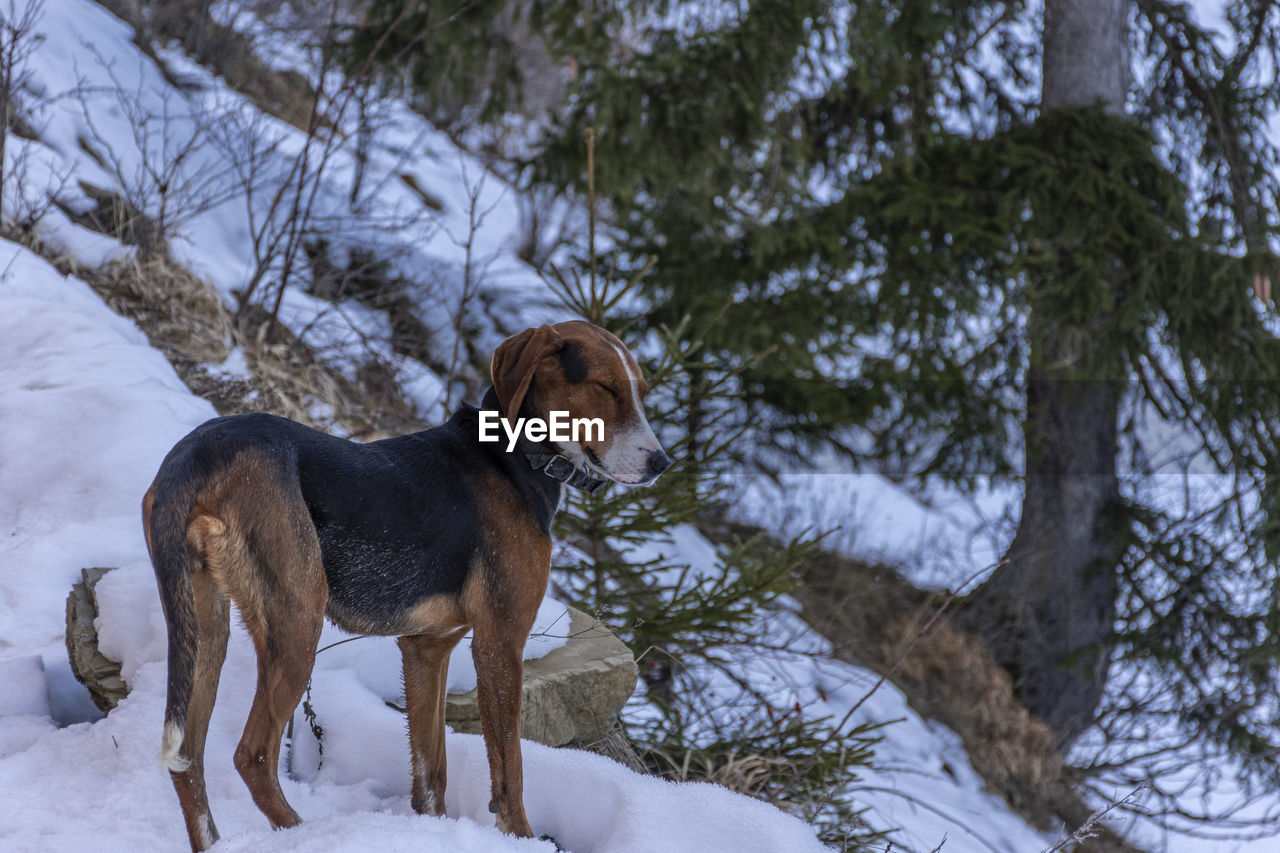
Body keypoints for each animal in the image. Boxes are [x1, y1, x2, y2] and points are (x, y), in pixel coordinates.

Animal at [142, 317, 670, 845]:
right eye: (606, 388)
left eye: (642, 393)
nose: (661, 464)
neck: (516, 455)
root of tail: (197, 454)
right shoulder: (501, 643)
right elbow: (510, 770)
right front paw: (518, 837)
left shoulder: (426, 648)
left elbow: (431, 771)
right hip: (297, 618)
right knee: (251, 756)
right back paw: (304, 832)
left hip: (204, 630)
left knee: (187, 760)